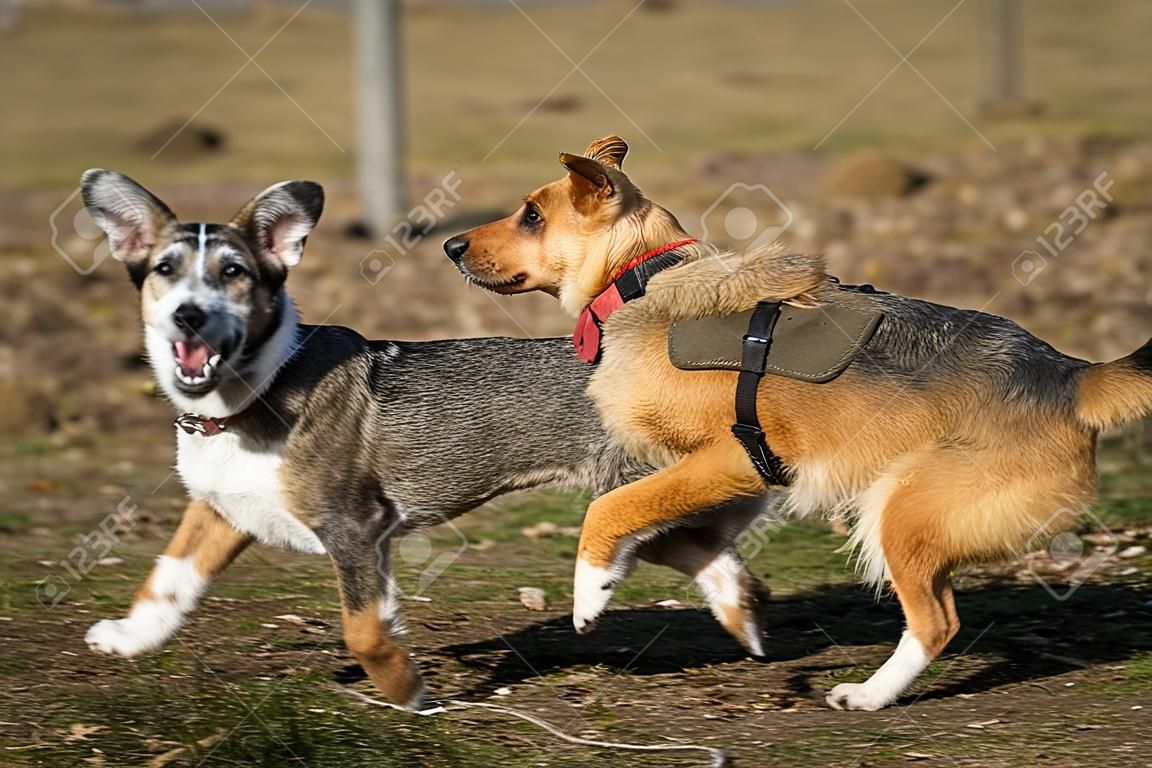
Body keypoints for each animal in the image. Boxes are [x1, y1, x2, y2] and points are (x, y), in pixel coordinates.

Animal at [81, 169, 774, 709]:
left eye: (234, 273)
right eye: (165, 270)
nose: (189, 316)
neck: (253, 395)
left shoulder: (354, 528)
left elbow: (362, 631)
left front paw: (410, 696)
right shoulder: (221, 513)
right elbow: (168, 582)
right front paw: (127, 637)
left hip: (645, 491)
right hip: (652, 509)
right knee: (714, 557)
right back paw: (743, 618)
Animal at [442, 135, 1152, 713]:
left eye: (532, 215)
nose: (449, 244)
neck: (642, 279)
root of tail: (1069, 374)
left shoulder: (729, 457)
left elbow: (611, 508)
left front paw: (592, 588)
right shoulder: (734, 475)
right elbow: (680, 531)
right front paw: (730, 602)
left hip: (900, 511)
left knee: (935, 623)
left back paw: (869, 695)